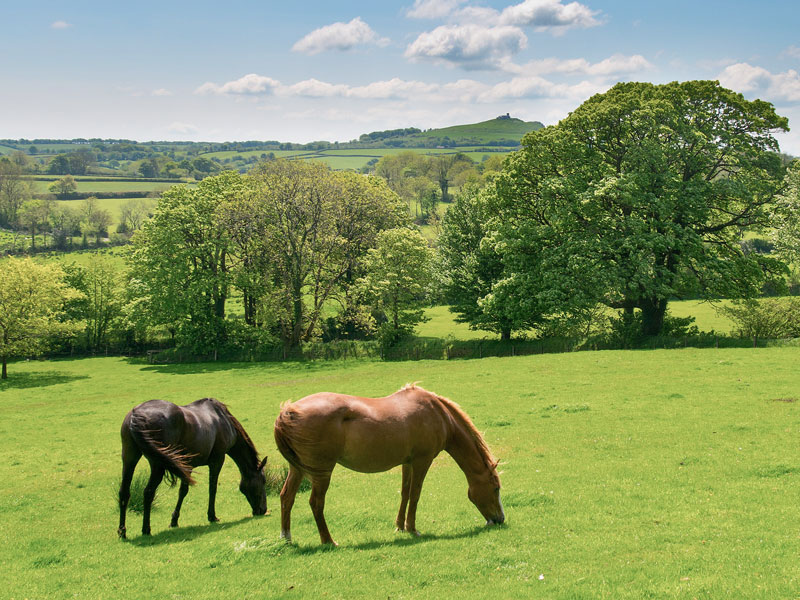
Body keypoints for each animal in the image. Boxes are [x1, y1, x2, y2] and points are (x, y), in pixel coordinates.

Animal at [117, 398, 268, 540]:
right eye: (264, 481)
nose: (263, 510)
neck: (223, 419)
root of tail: (136, 415)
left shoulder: (187, 466)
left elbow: (183, 491)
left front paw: (174, 520)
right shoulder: (217, 460)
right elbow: (212, 488)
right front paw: (212, 516)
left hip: (130, 459)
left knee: (124, 492)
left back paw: (122, 531)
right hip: (158, 465)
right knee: (148, 493)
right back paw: (146, 529)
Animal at [272, 384, 504, 544]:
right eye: (496, 488)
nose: (500, 519)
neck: (440, 415)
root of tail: (289, 411)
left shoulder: (407, 462)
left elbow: (405, 493)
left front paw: (400, 526)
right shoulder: (422, 460)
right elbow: (415, 494)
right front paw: (412, 528)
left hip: (297, 469)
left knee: (286, 497)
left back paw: (286, 537)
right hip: (322, 473)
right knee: (316, 503)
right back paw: (328, 540)